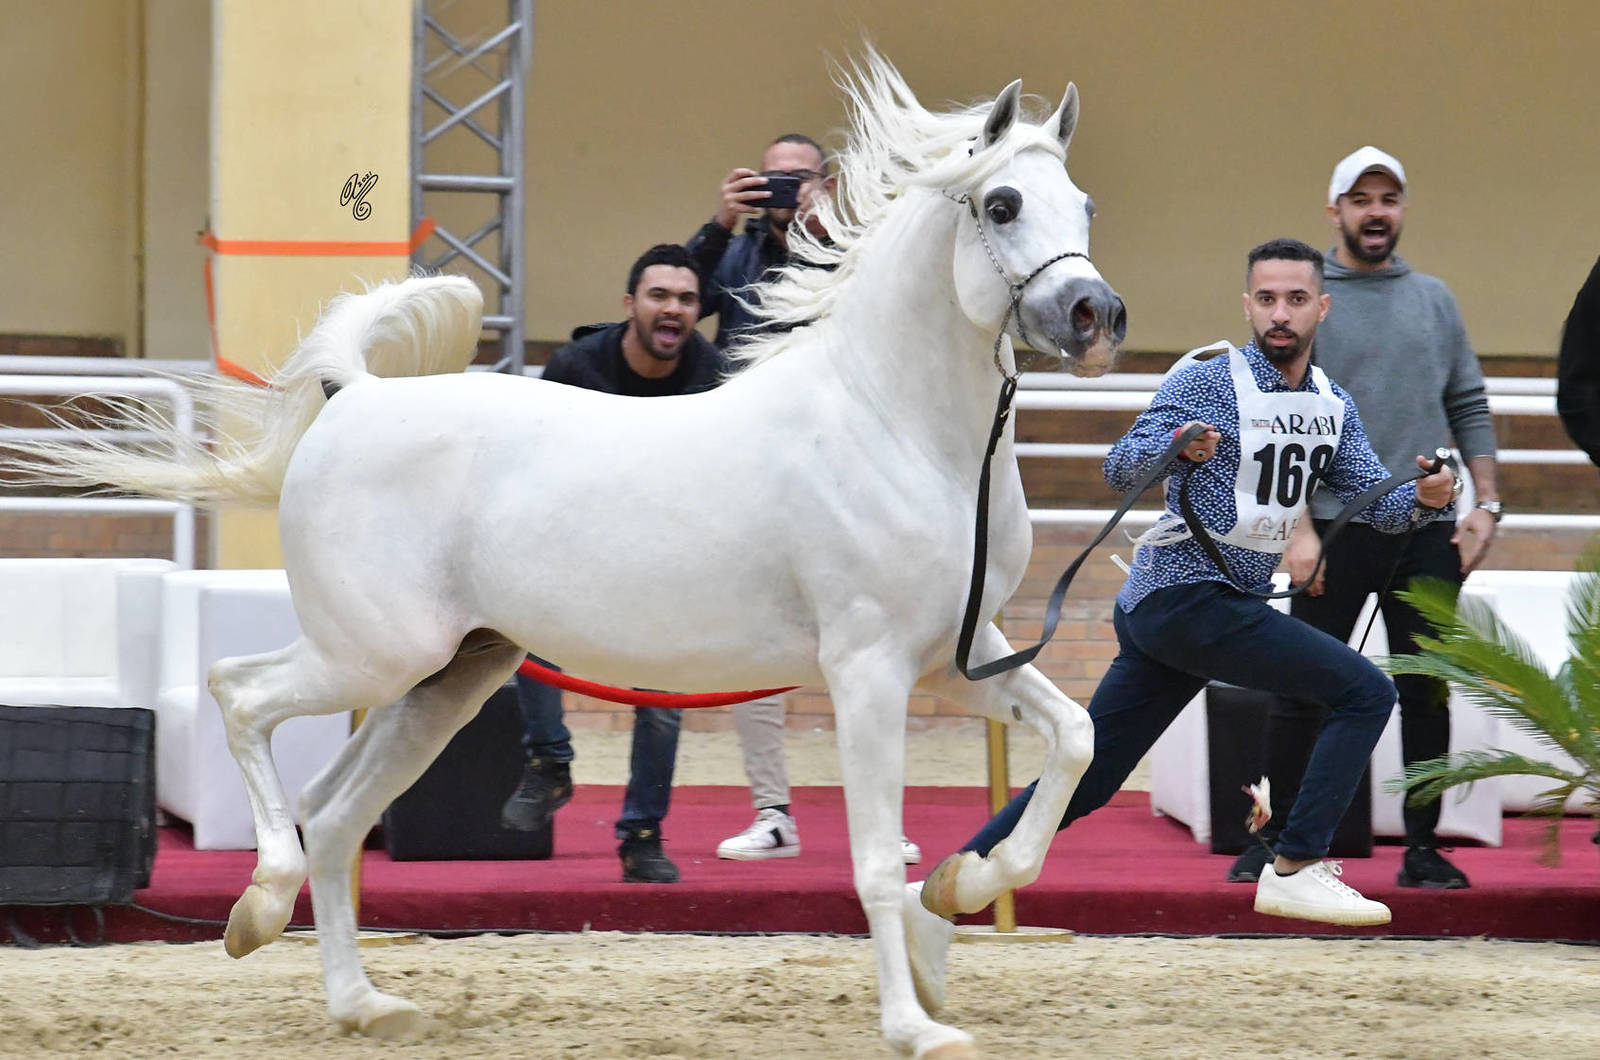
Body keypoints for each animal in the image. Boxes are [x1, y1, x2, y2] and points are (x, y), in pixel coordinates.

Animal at [6, 52, 1123, 1060]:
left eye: (1084, 204)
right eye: (1003, 203)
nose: (1095, 315)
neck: (895, 427)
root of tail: (355, 395)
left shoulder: (954, 659)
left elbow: (1073, 742)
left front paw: (965, 887)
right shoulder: (869, 671)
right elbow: (876, 860)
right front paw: (915, 1028)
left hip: (452, 676)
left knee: (336, 812)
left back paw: (365, 1005)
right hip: (374, 654)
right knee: (241, 696)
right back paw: (257, 907)